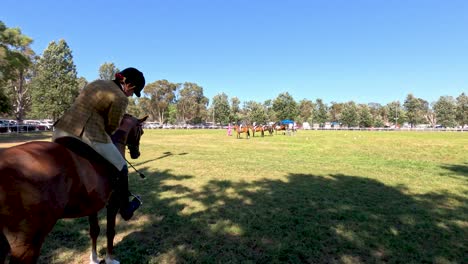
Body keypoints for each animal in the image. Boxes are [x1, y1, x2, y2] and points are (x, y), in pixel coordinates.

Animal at [0, 114, 146, 264]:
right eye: (141, 132)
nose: (137, 154)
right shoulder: (113, 204)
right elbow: (110, 231)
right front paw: (110, 259)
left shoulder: (92, 205)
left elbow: (94, 230)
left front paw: (94, 258)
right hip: (26, 243)